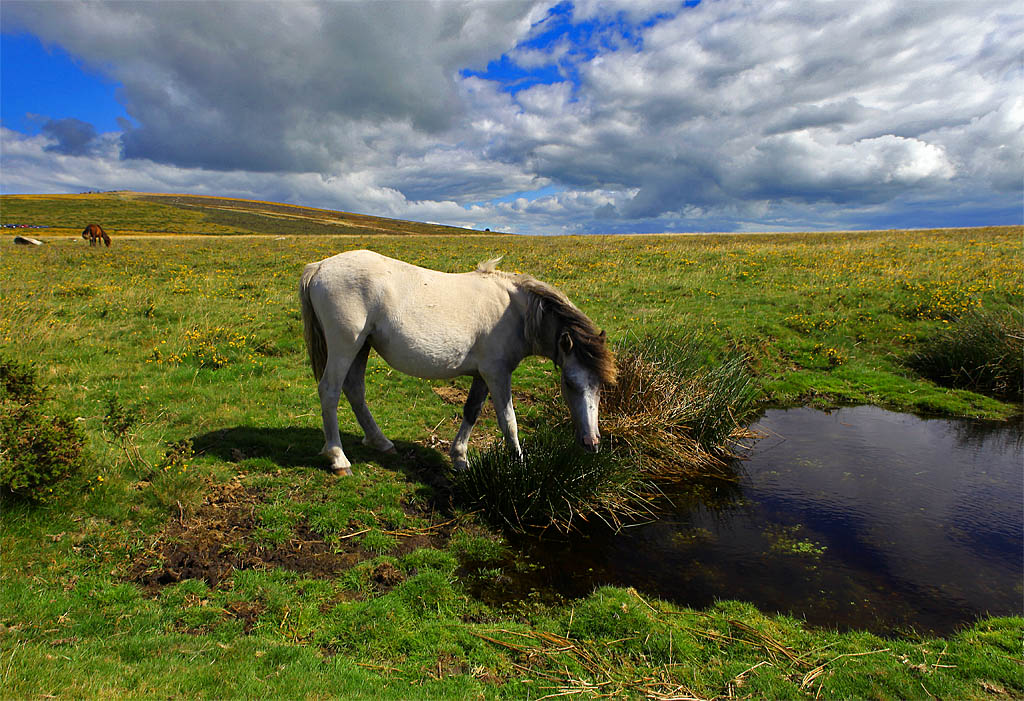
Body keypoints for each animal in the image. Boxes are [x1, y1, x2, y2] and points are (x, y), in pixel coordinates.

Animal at [296, 248, 614, 472]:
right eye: (569, 383)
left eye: (600, 386)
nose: (592, 443)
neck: (514, 311)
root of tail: (319, 267)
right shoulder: (498, 374)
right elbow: (508, 420)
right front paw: (520, 466)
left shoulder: (483, 375)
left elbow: (472, 411)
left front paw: (460, 458)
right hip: (345, 346)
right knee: (330, 391)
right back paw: (338, 458)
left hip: (361, 347)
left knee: (355, 391)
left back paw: (381, 442)